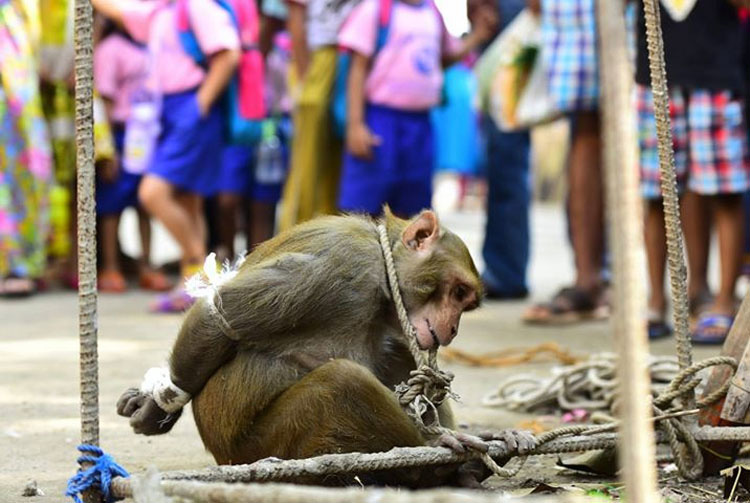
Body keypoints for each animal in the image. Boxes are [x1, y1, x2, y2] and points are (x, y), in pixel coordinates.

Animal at [117, 210, 536, 488]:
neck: (382, 277)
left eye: (466, 303)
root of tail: (224, 457)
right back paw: (437, 460)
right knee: (342, 381)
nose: (451, 328)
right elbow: (217, 315)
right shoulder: (341, 265)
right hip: (265, 448)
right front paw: (158, 404)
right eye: (458, 291)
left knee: (391, 352)